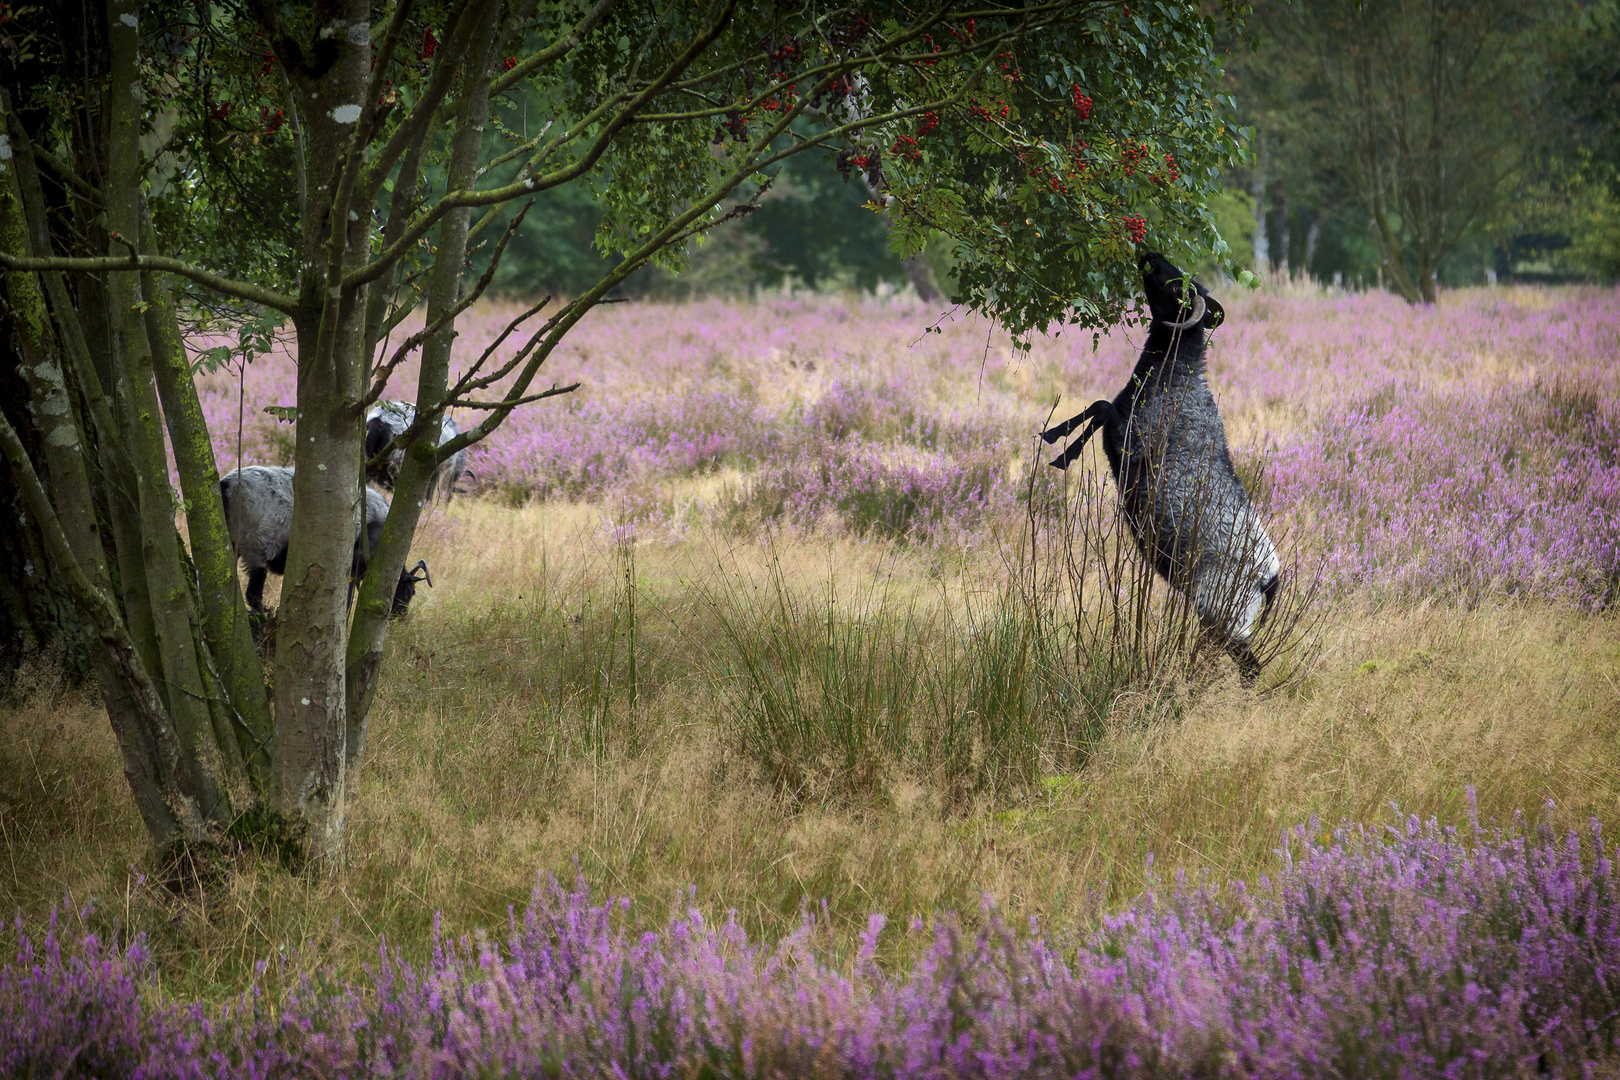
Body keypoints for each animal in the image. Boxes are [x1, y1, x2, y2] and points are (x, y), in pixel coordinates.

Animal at [1043, 250, 1283, 683]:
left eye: (1178, 289)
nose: (1150, 256)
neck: (1173, 374)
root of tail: (1270, 580)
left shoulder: (1130, 445)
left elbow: (1101, 408)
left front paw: (1058, 448)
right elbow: (1100, 407)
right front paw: (1056, 440)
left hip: (1224, 612)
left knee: (1248, 665)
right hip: (1221, 617)